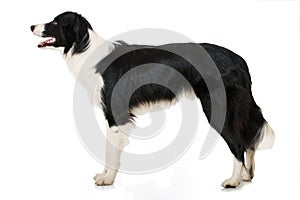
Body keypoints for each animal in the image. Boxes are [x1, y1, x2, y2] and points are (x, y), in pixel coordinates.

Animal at [31, 11, 274, 188]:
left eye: (54, 22)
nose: (31, 26)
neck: (86, 49)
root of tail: (239, 59)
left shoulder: (115, 114)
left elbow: (110, 151)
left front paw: (107, 179)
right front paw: (105, 175)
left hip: (218, 106)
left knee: (238, 143)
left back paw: (233, 181)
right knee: (249, 138)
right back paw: (246, 176)